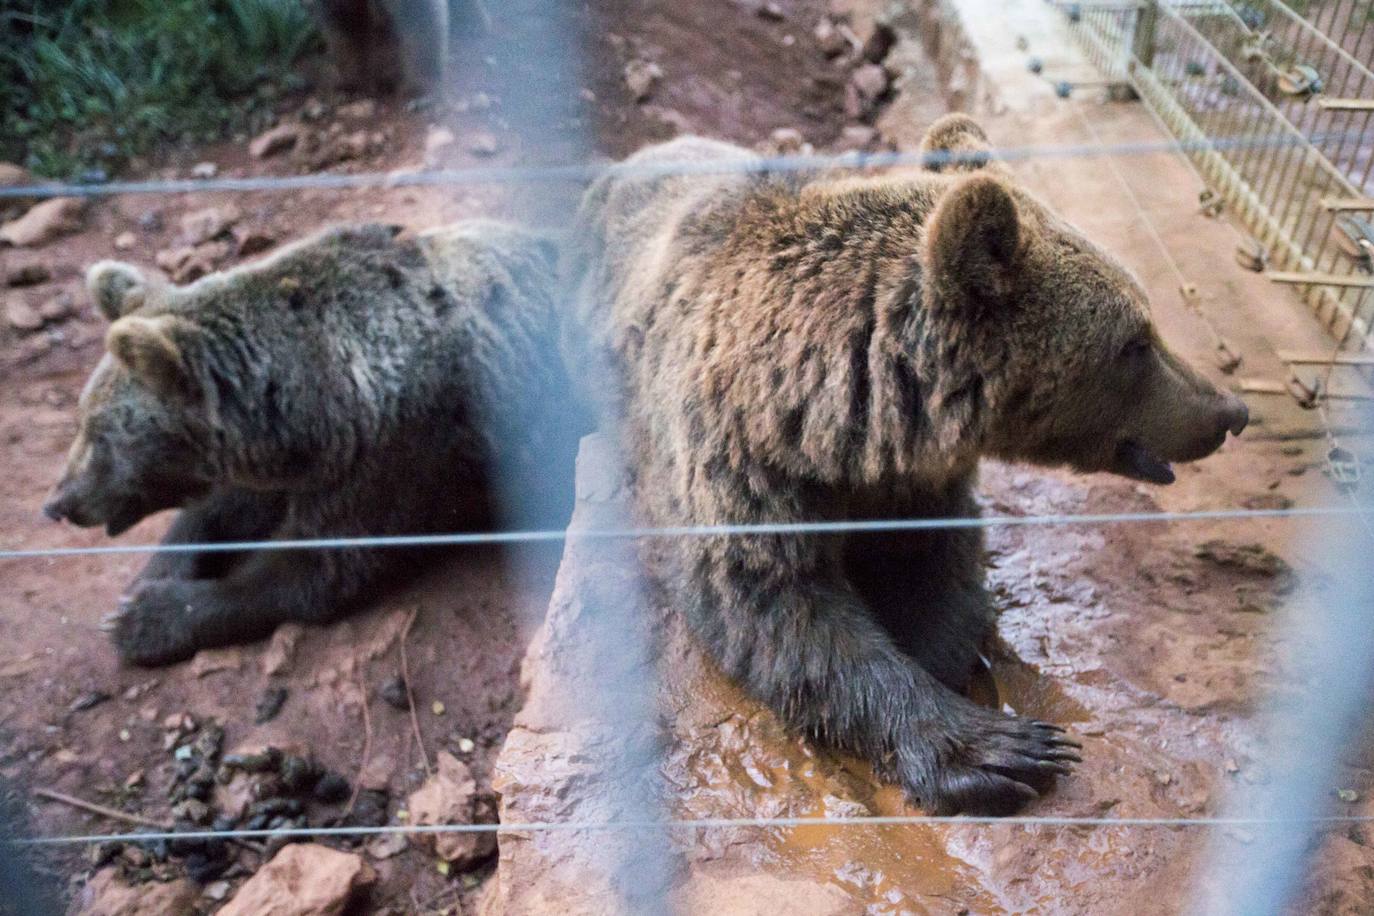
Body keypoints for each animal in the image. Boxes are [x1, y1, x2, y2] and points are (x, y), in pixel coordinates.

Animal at [47, 219, 585, 667]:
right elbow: (225, 508)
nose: (59, 502)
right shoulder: (282, 456)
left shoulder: (398, 452)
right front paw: (148, 579)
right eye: (82, 420)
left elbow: (319, 569)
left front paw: (144, 620)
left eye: (102, 435)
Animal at [563, 114, 1253, 818]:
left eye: (1147, 325)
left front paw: (948, 658)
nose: (1230, 410)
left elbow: (938, 568)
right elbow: (777, 607)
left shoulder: (915, 479)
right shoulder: (741, 459)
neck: (840, 418)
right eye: (1135, 343)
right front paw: (999, 751)